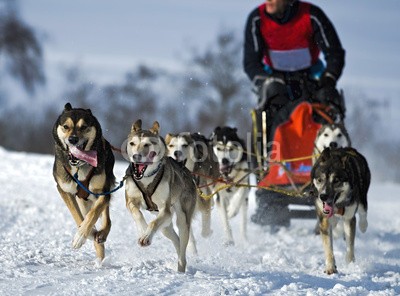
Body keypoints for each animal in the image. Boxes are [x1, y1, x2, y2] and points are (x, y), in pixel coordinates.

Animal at [52, 102, 115, 266]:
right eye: (66, 126)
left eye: (84, 126)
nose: (72, 139)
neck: (79, 165)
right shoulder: (65, 190)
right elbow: (78, 216)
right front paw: (87, 233)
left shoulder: (102, 192)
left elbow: (94, 213)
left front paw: (81, 236)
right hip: (83, 199)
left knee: (106, 219)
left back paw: (101, 237)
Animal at [123, 119, 195, 272]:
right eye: (132, 143)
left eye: (147, 144)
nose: (136, 156)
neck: (146, 178)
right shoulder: (131, 201)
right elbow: (138, 214)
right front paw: (143, 231)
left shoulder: (165, 209)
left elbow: (153, 223)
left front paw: (146, 237)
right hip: (165, 227)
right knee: (176, 240)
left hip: (182, 219)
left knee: (182, 248)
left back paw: (181, 269)